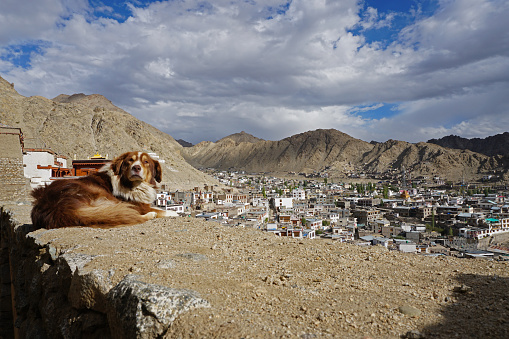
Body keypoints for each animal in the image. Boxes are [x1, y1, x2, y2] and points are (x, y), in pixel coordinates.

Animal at [31, 152, 177, 230]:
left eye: (146, 162)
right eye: (130, 161)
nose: (136, 168)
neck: (134, 185)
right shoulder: (139, 205)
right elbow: (163, 211)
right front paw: (173, 213)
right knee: (129, 215)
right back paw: (150, 215)